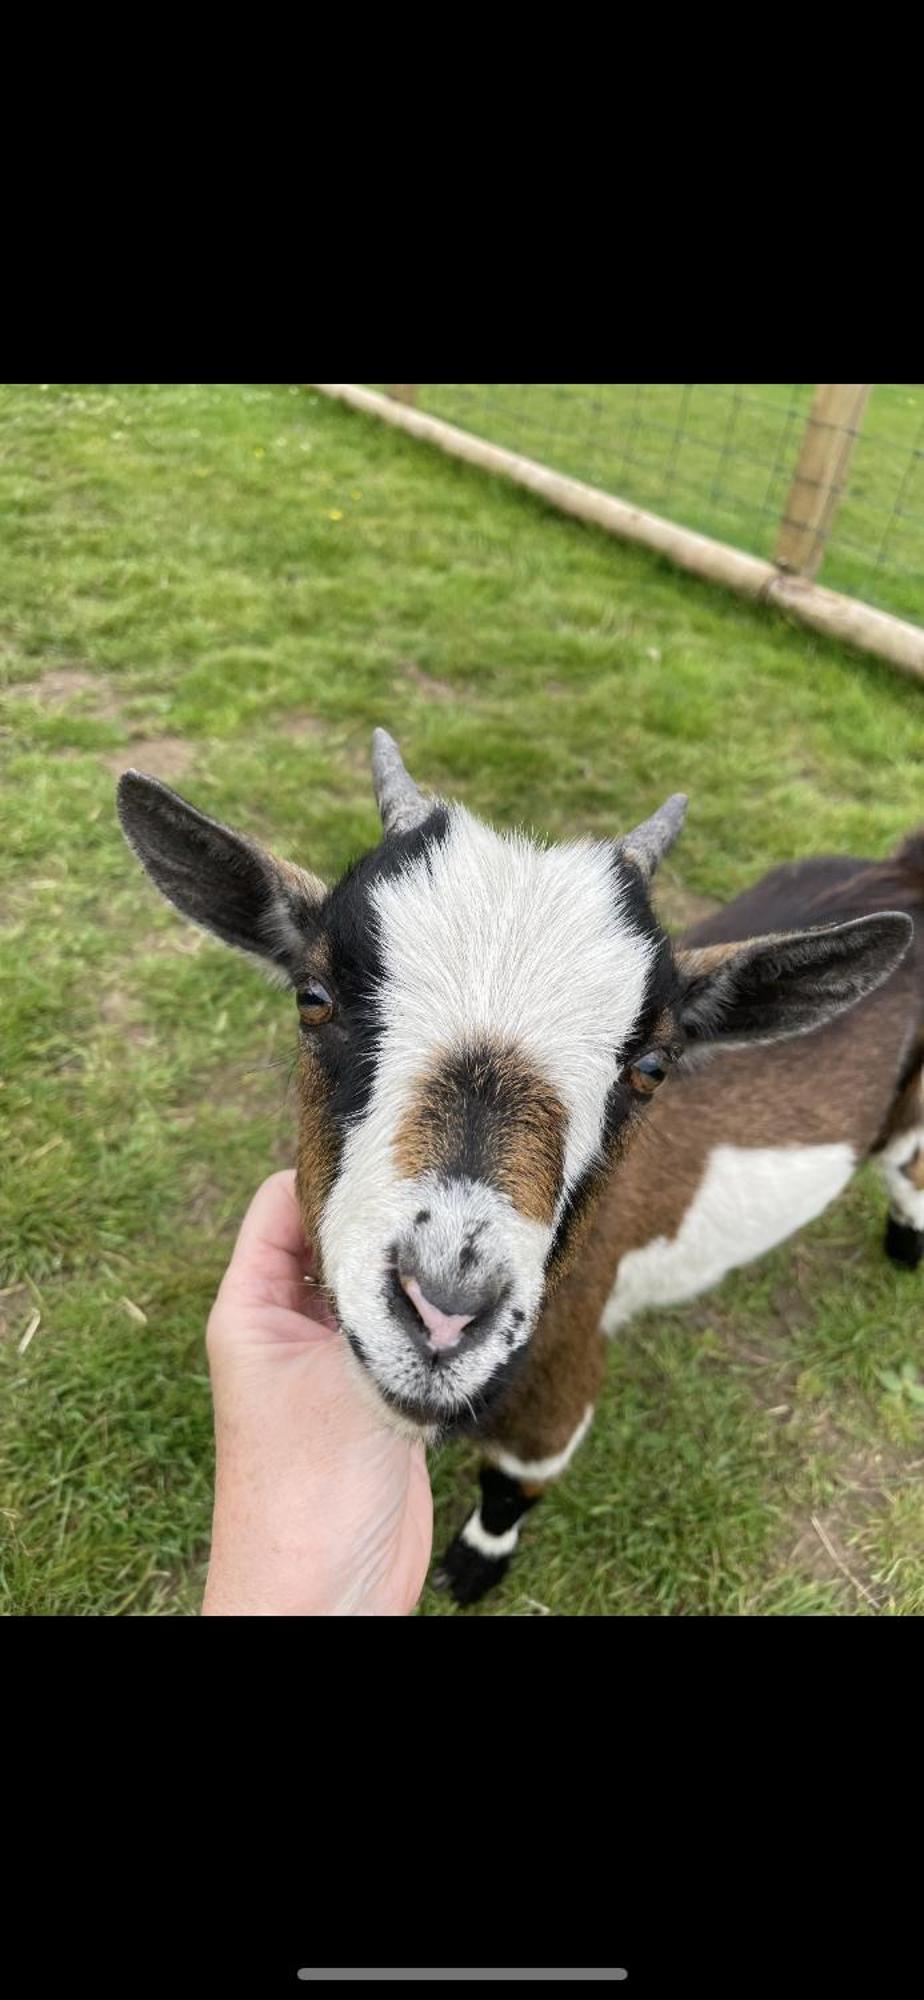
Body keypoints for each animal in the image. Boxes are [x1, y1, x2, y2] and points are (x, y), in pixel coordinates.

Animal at [119, 736, 920, 1608]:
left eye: (652, 1067)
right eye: (314, 996)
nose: (442, 1313)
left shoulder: (559, 1387)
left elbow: (513, 1486)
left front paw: (475, 1564)